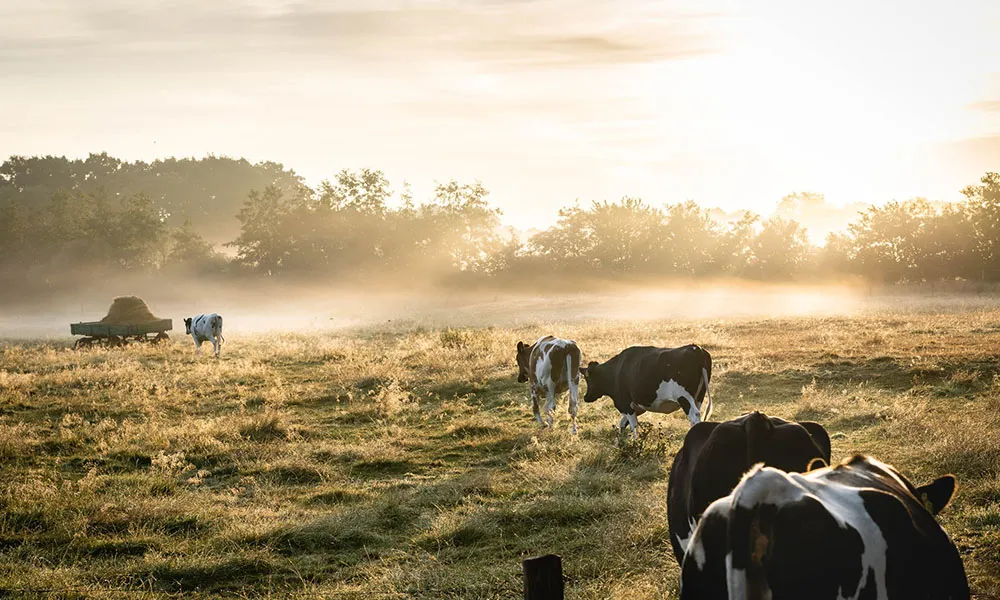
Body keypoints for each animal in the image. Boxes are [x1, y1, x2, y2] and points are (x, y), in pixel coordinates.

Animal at [580, 344, 712, 438]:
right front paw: (619, 444)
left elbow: (633, 426)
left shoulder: (625, 404)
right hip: (698, 397)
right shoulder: (637, 407)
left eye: (588, 378)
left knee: (694, 415)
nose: (585, 397)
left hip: (684, 397)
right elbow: (622, 423)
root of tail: (695, 348)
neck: (616, 371)